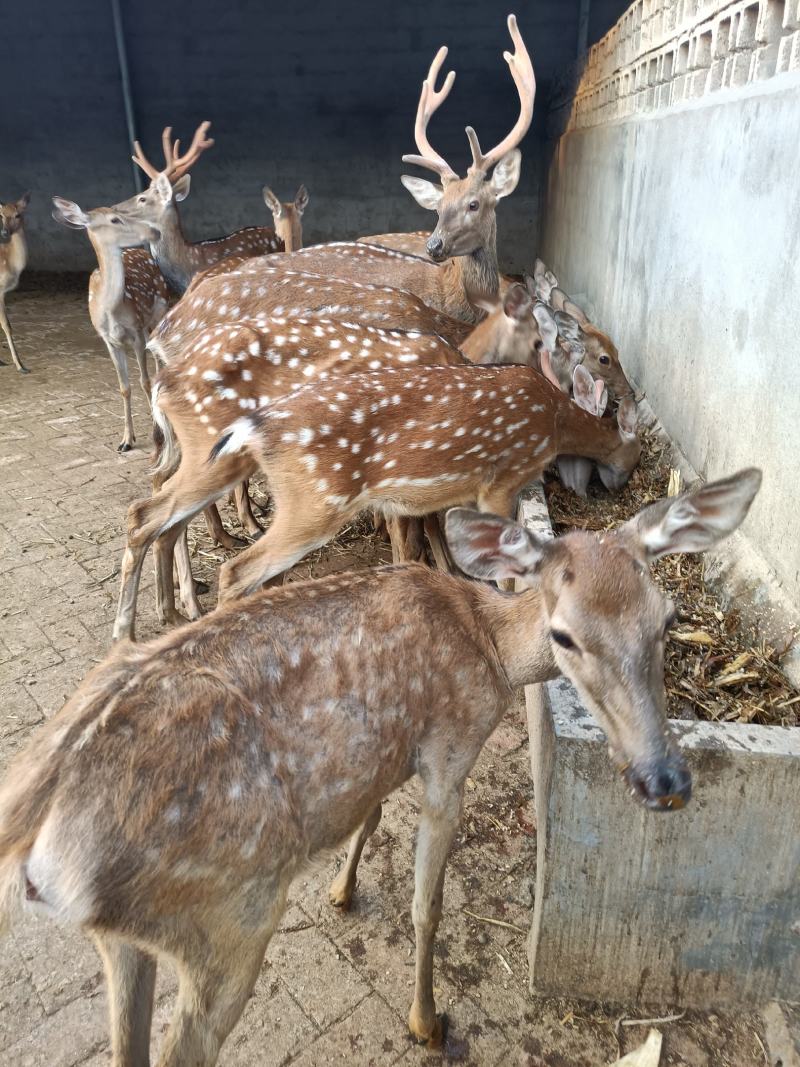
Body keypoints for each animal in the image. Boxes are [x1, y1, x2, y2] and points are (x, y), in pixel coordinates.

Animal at [0, 467, 761, 1065]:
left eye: (668, 618)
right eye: (564, 634)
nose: (664, 781)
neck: (489, 646)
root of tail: (34, 846)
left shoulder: (392, 749)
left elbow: (368, 814)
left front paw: (342, 889)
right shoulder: (452, 746)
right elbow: (428, 904)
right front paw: (427, 1020)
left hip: (121, 938)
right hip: (229, 916)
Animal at [111, 359, 640, 641]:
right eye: (634, 454)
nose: (619, 485)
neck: (552, 420)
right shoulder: (501, 477)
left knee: (149, 514)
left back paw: (154, 621)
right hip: (315, 498)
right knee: (232, 566)